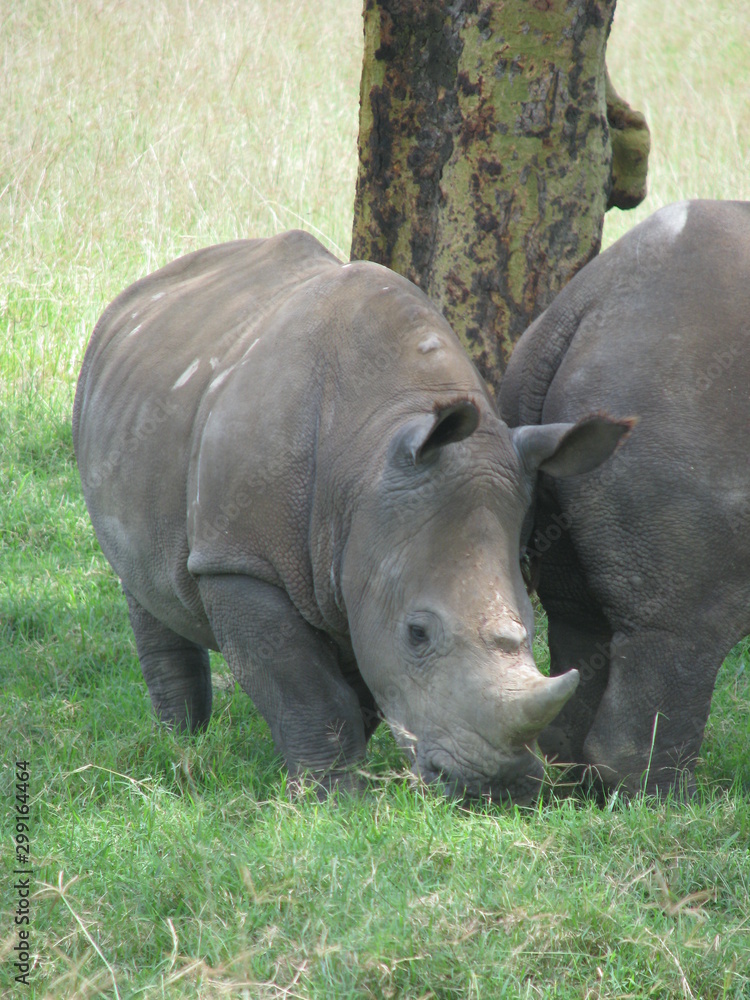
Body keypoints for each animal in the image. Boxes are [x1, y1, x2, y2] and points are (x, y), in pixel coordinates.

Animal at [73, 229, 626, 802]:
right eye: (418, 633)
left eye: (531, 627)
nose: (498, 786)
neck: (366, 466)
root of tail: (136, 294)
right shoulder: (240, 561)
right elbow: (304, 686)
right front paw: (331, 797)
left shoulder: (364, 560)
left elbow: (361, 674)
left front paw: (341, 780)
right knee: (143, 590)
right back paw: (181, 741)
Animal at [500, 200, 750, 798]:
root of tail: (582, 310)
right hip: (670, 413)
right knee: (679, 631)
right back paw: (677, 799)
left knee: (578, 619)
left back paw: (573, 781)